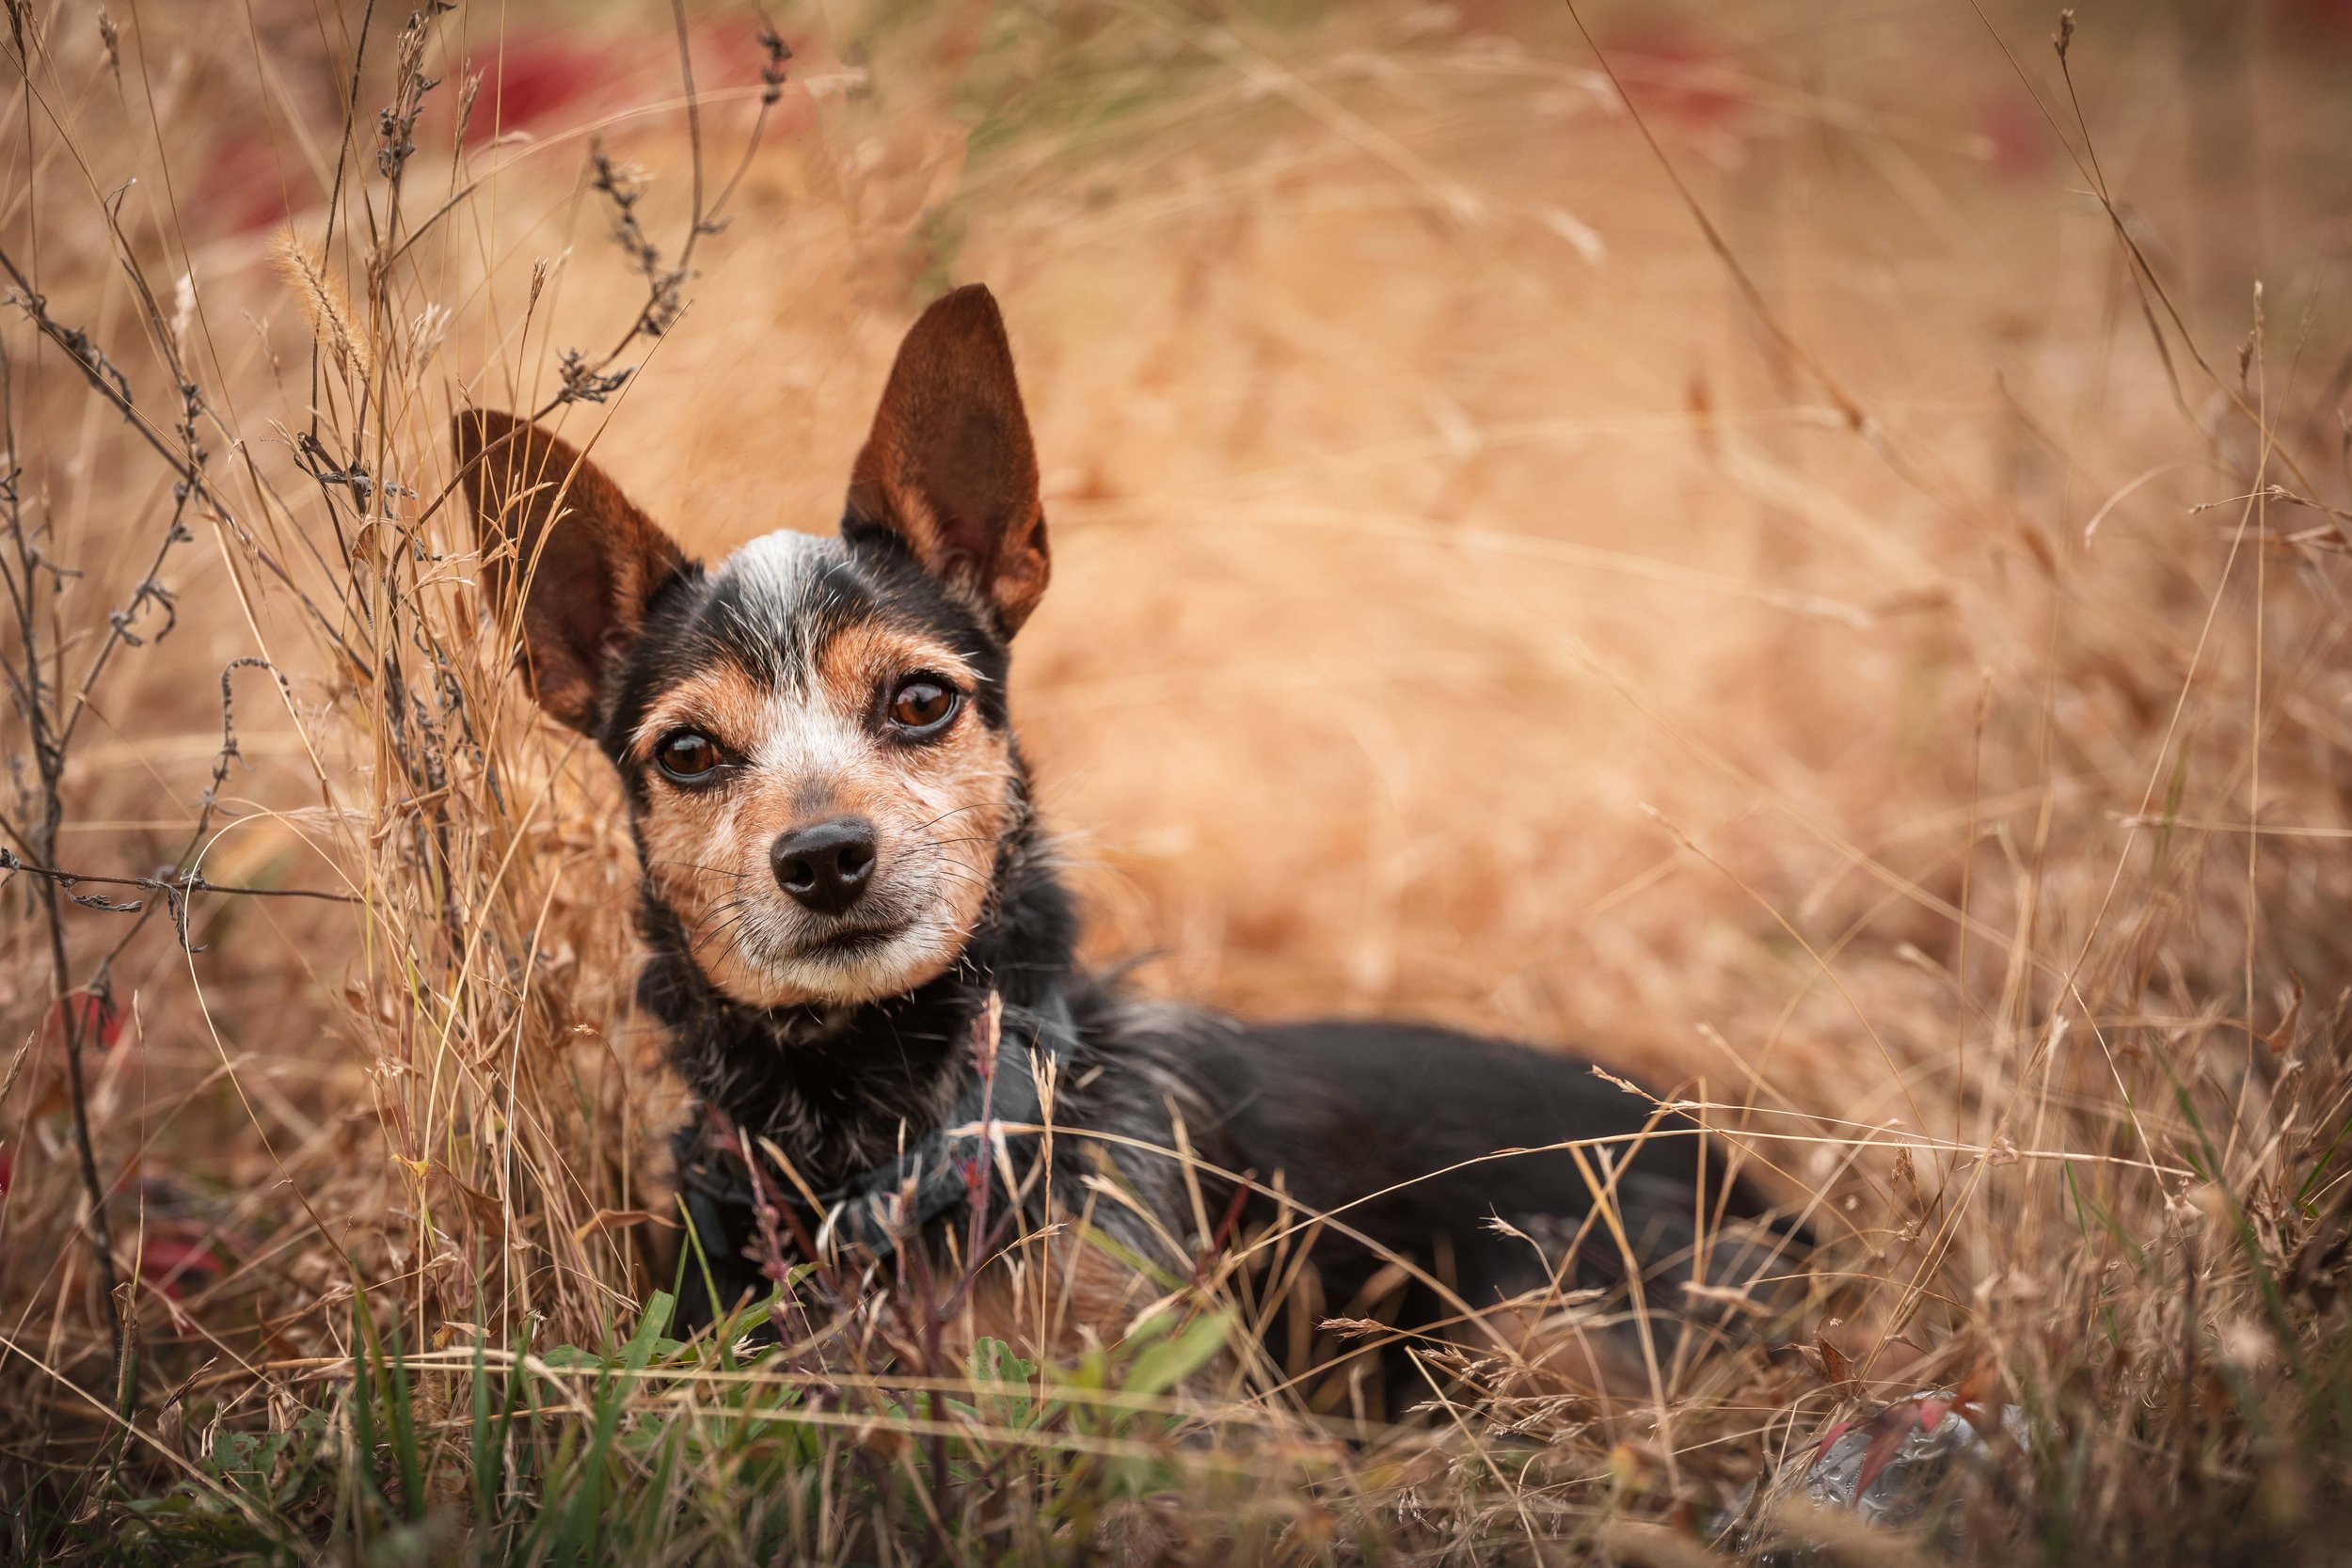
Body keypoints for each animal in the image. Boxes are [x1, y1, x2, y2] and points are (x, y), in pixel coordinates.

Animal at [453, 281, 1797, 1410]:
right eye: (687, 752)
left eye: (920, 700)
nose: (826, 855)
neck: (873, 1146)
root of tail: (1750, 1183)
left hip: (1534, 1325)